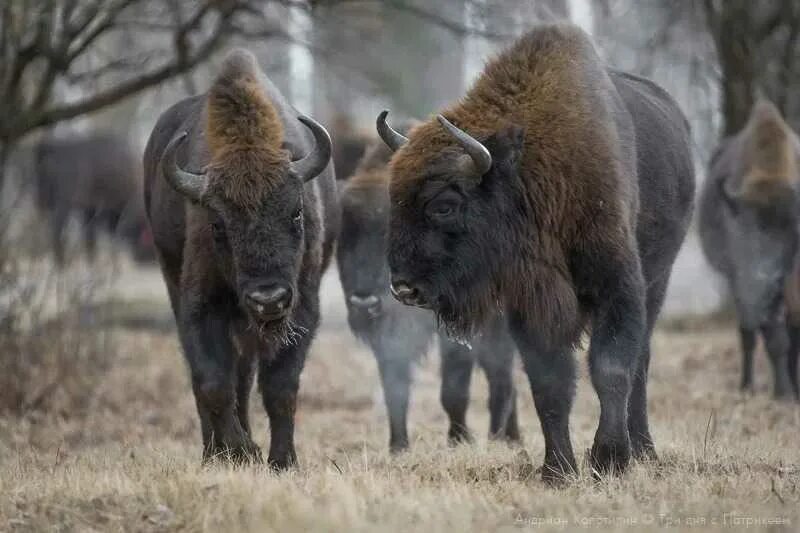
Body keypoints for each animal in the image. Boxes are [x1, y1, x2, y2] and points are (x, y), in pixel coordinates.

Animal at [34, 131, 154, 264]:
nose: (145, 258)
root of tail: (53, 148)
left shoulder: (90, 209)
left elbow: (90, 237)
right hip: (63, 204)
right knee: (56, 229)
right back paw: (60, 262)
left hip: (45, 201)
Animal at [144, 48, 338, 466]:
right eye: (218, 225)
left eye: (296, 213)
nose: (268, 298)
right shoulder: (201, 305)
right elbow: (214, 383)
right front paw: (241, 450)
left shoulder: (302, 308)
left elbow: (280, 388)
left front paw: (282, 461)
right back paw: (213, 452)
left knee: (246, 376)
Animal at [336, 135, 520, 450]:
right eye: (344, 234)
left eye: (386, 231)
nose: (364, 303)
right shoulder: (390, 338)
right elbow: (395, 389)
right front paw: (398, 447)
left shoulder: (457, 332)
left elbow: (454, 390)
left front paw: (458, 440)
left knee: (502, 379)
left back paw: (498, 438)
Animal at [376, 26, 692, 482]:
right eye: (393, 199)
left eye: (444, 205)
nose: (404, 288)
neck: (527, 172)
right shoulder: (531, 304)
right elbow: (549, 385)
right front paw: (557, 470)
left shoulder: (618, 285)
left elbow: (612, 367)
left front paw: (609, 460)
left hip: (658, 280)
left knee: (642, 362)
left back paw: (644, 450)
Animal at [696, 101, 800, 400]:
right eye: (742, 232)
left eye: (790, 231)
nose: (763, 276)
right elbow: (771, 338)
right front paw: (783, 393)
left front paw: (787, 391)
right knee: (750, 336)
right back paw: (747, 385)